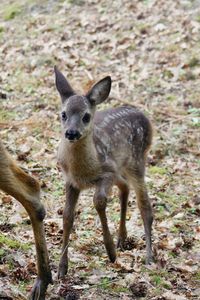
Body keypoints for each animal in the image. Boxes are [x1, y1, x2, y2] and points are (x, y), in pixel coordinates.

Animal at [54, 67, 153, 278]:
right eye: (63, 114)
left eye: (86, 116)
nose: (71, 133)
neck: (82, 170)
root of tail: (145, 117)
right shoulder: (71, 181)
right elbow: (67, 216)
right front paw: (61, 268)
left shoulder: (107, 173)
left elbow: (98, 201)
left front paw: (110, 251)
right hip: (122, 167)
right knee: (125, 188)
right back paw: (122, 239)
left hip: (137, 160)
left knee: (145, 206)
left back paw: (149, 257)